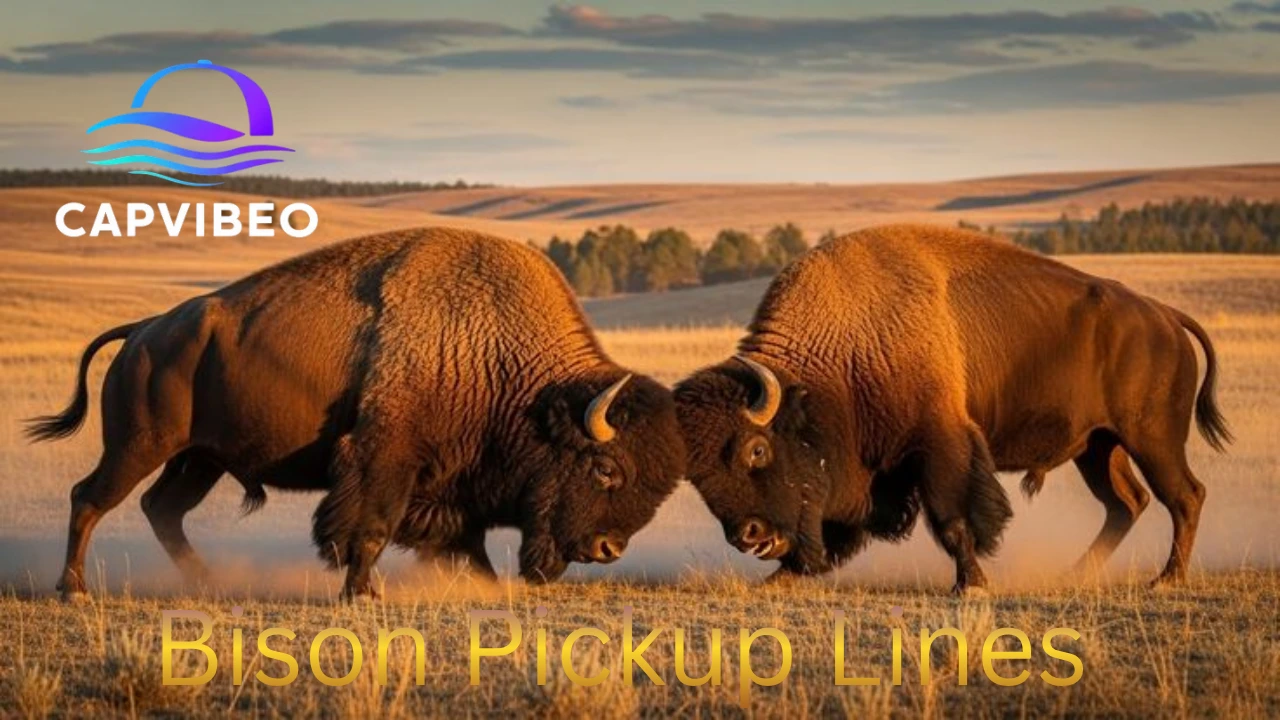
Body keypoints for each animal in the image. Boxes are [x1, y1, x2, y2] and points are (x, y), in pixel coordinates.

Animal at [28, 228, 686, 599]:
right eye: (605, 470)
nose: (606, 549)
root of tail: (143, 330)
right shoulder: (384, 460)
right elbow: (368, 528)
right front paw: (363, 593)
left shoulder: (448, 485)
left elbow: (460, 540)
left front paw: (481, 585)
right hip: (140, 445)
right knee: (91, 498)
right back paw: (73, 589)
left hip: (197, 461)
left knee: (161, 509)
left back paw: (206, 581)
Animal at [675, 224, 1229, 593]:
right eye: (698, 475)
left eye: (756, 450)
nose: (748, 536)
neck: (838, 355)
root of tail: (1164, 317)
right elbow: (838, 528)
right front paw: (780, 578)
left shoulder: (939, 445)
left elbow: (953, 519)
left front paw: (972, 585)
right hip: (1098, 448)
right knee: (1127, 503)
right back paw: (1075, 573)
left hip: (1152, 439)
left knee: (1185, 496)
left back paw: (1167, 580)